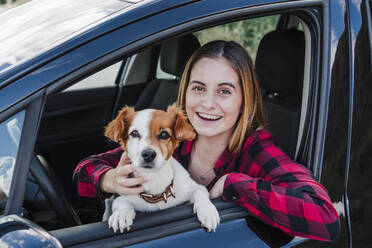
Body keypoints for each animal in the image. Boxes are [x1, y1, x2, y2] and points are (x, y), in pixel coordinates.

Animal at [103, 105, 219, 233]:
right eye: (134, 133)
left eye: (164, 134)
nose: (148, 154)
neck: (154, 179)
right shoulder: (123, 195)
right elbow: (120, 203)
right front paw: (121, 215)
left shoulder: (195, 187)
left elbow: (200, 193)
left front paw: (208, 211)